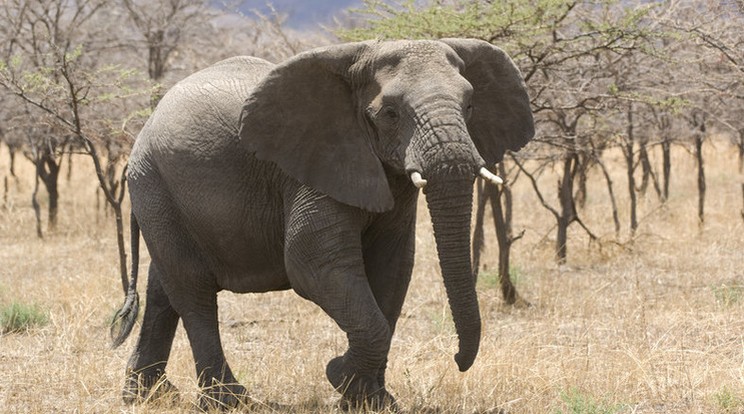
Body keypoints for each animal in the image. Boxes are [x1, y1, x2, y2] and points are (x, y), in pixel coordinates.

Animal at [107, 38, 532, 410]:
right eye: (390, 114)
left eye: (470, 104)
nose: (458, 360)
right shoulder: (312, 166)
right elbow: (313, 265)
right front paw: (339, 375)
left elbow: (393, 267)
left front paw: (370, 400)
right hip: (154, 183)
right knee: (192, 289)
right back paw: (229, 402)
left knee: (164, 286)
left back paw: (149, 396)